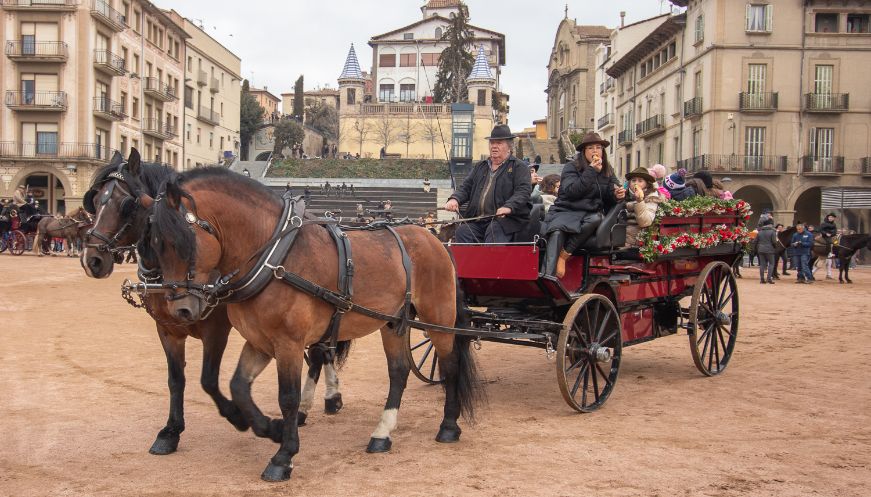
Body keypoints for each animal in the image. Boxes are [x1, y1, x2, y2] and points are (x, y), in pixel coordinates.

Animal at [145, 167, 484, 480]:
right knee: (398, 372)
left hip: (438, 318)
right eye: (153, 244)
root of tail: (436, 239)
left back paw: (449, 425)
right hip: (394, 323)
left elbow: (288, 397)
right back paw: (382, 433)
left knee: (450, 364)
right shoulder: (260, 341)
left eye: (184, 241)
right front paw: (269, 428)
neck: (275, 258)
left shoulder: (289, 344)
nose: (180, 310)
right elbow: (238, 386)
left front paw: (284, 455)